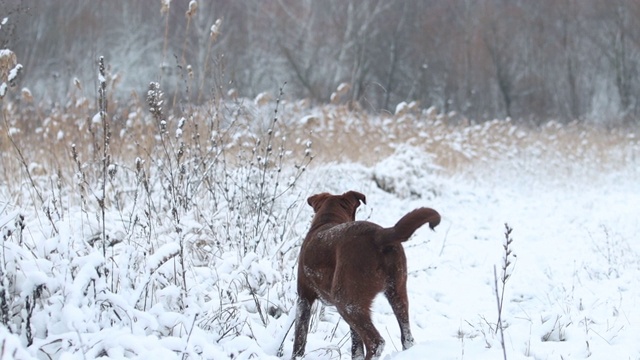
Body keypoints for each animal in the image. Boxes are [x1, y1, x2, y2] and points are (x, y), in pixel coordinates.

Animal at [294, 190, 440, 358]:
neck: (327, 219)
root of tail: (380, 235)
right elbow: (356, 346)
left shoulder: (303, 298)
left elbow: (299, 338)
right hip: (397, 293)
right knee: (407, 338)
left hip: (347, 302)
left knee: (376, 342)